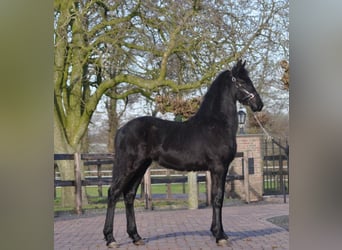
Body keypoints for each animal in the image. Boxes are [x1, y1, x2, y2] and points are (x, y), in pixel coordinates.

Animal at [103, 59, 264, 247]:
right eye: (242, 82)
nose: (259, 104)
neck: (216, 124)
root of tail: (121, 130)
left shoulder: (216, 169)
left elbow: (215, 197)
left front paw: (217, 232)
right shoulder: (219, 167)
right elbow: (218, 198)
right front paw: (220, 236)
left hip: (141, 167)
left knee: (128, 195)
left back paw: (136, 237)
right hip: (129, 166)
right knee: (113, 193)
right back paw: (110, 239)